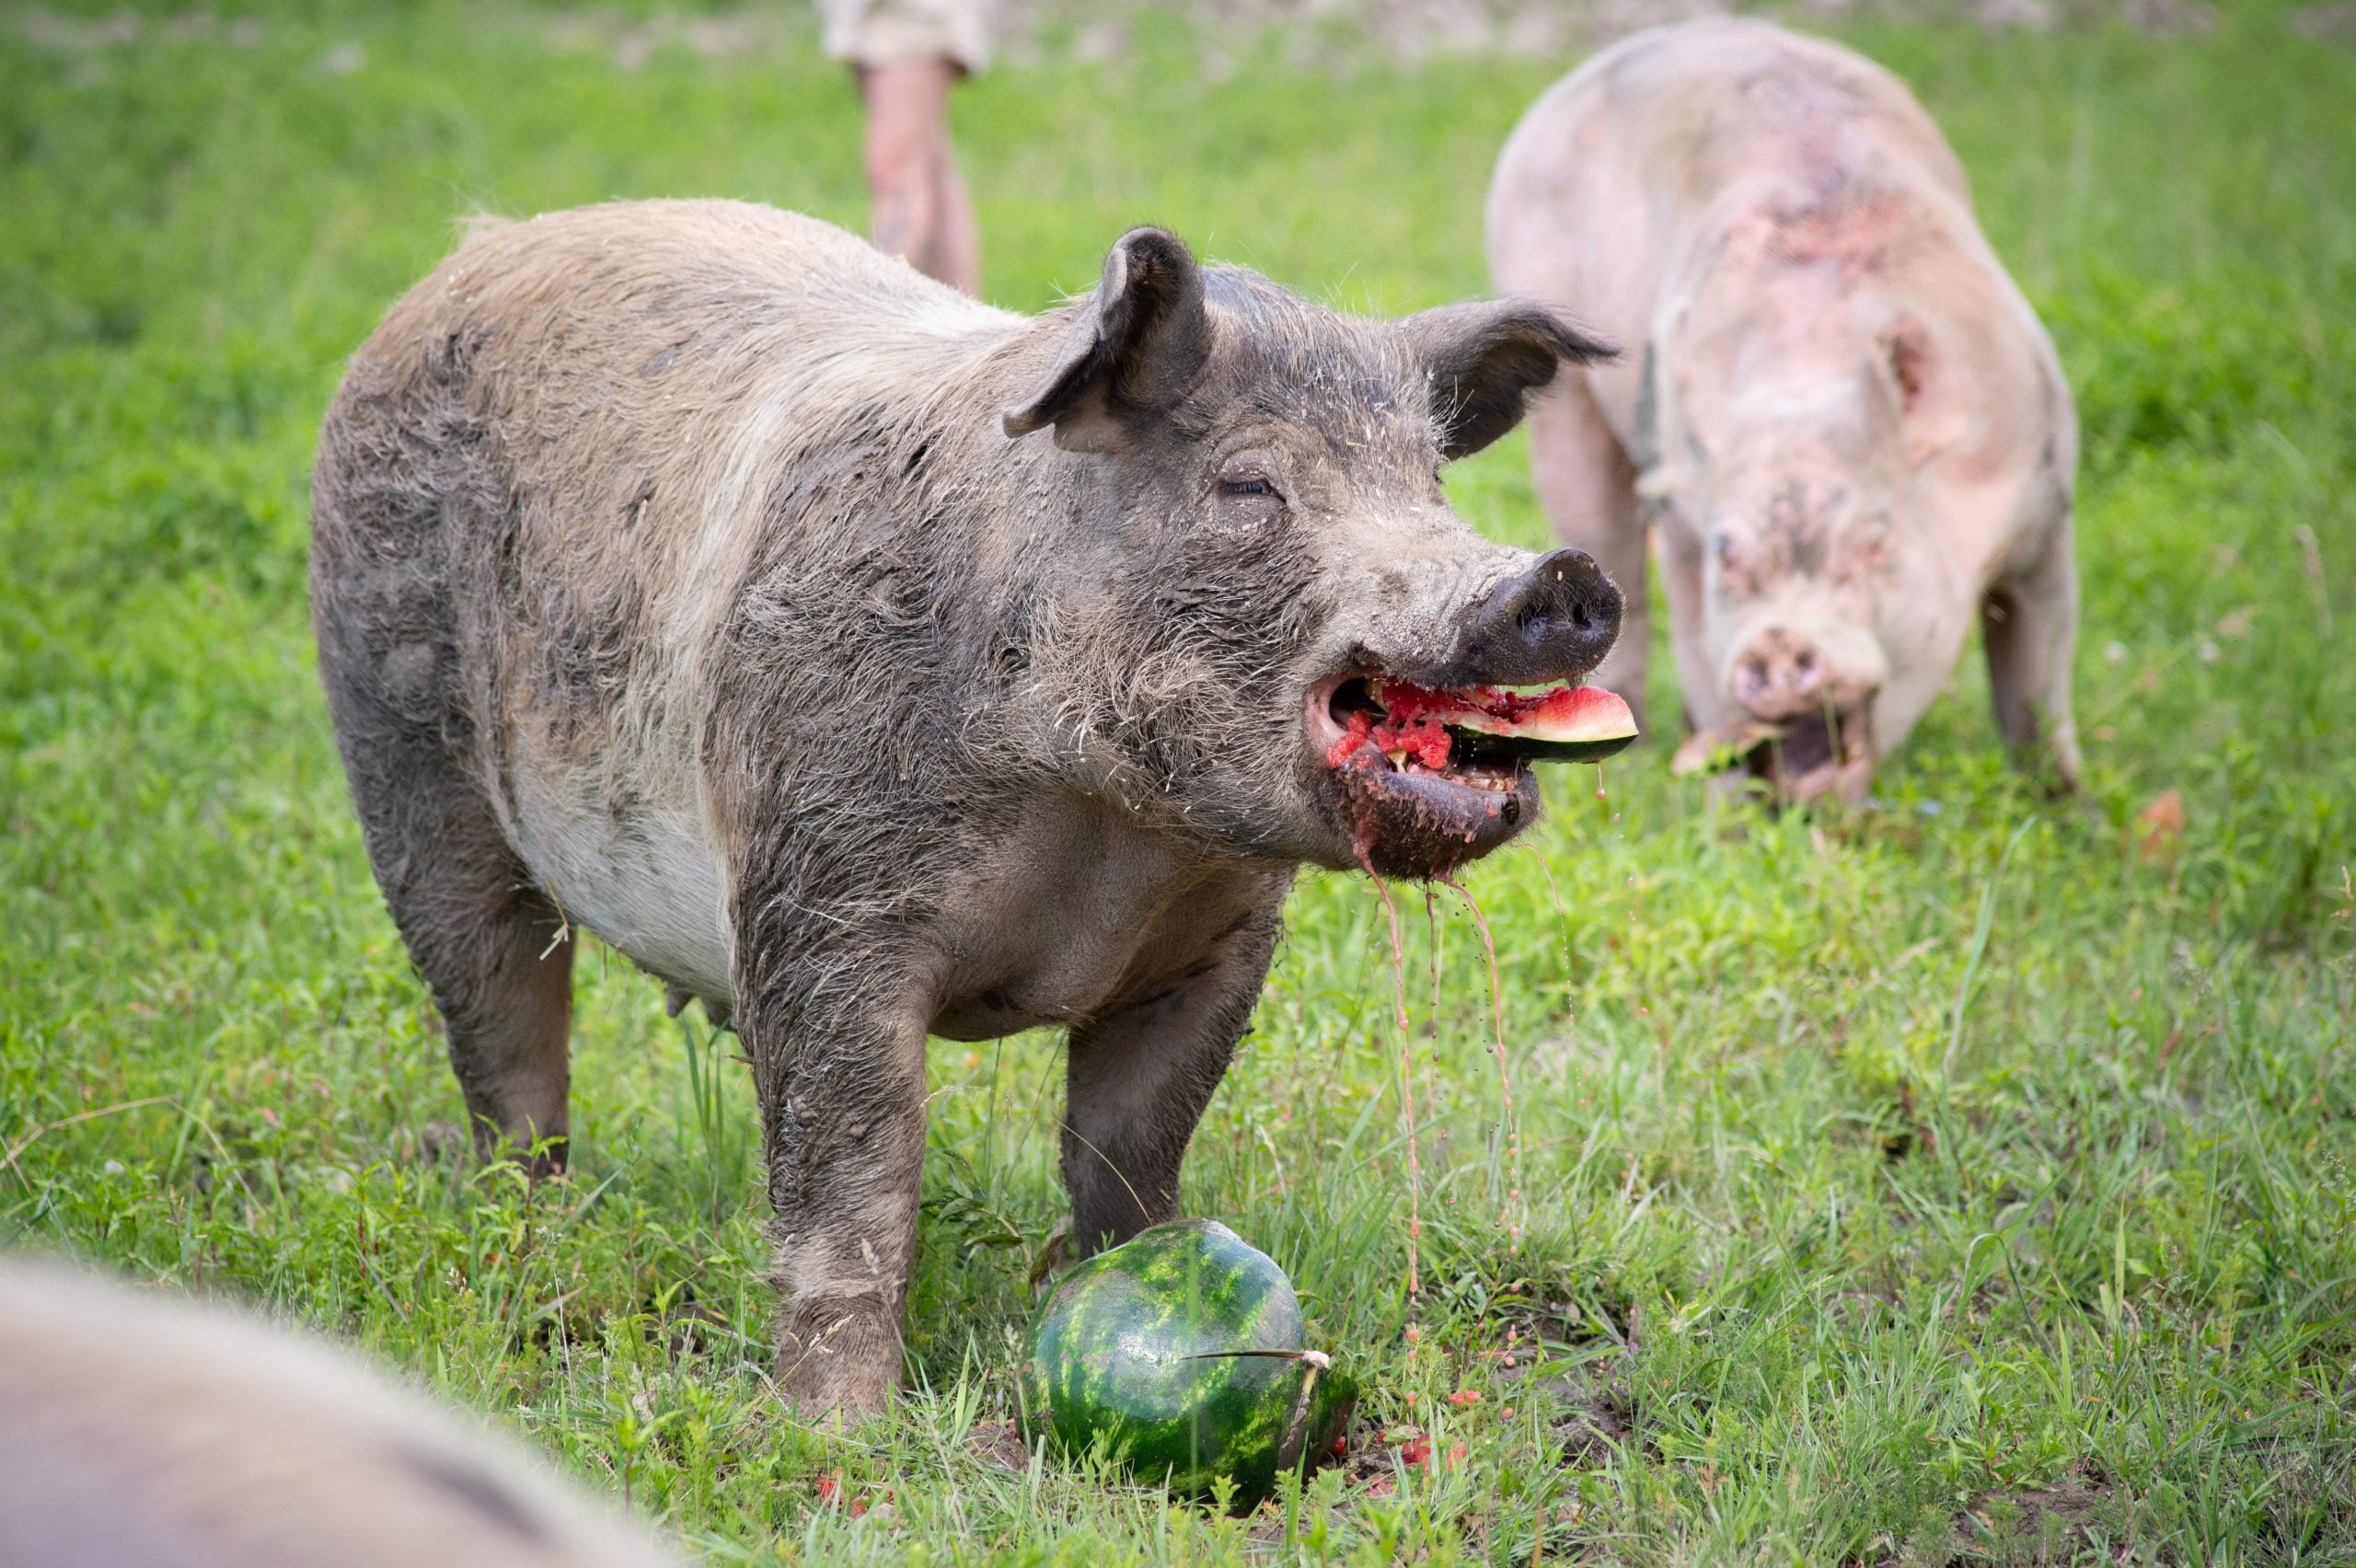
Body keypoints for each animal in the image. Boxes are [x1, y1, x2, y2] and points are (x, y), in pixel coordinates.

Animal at [310, 200, 1634, 1418]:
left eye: (1427, 481)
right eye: (1249, 484)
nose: (1558, 576)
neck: (1103, 832)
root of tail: (473, 250)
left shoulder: (1218, 944)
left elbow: (1132, 1151)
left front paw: (1127, 1299)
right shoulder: (818, 908)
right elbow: (858, 1173)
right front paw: (842, 1439)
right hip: (398, 753)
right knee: (499, 1015)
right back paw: (527, 1225)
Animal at [1488, 17, 2081, 801]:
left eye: (1875, 545)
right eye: (1730, 555)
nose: (1776, 640)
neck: (1804, 378)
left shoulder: (2048, 509)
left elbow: (2038, 688)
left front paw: (2073, 809)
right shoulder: (1683, 527)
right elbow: (1702, 668)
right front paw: (1727, 810)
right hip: (1564, 396)